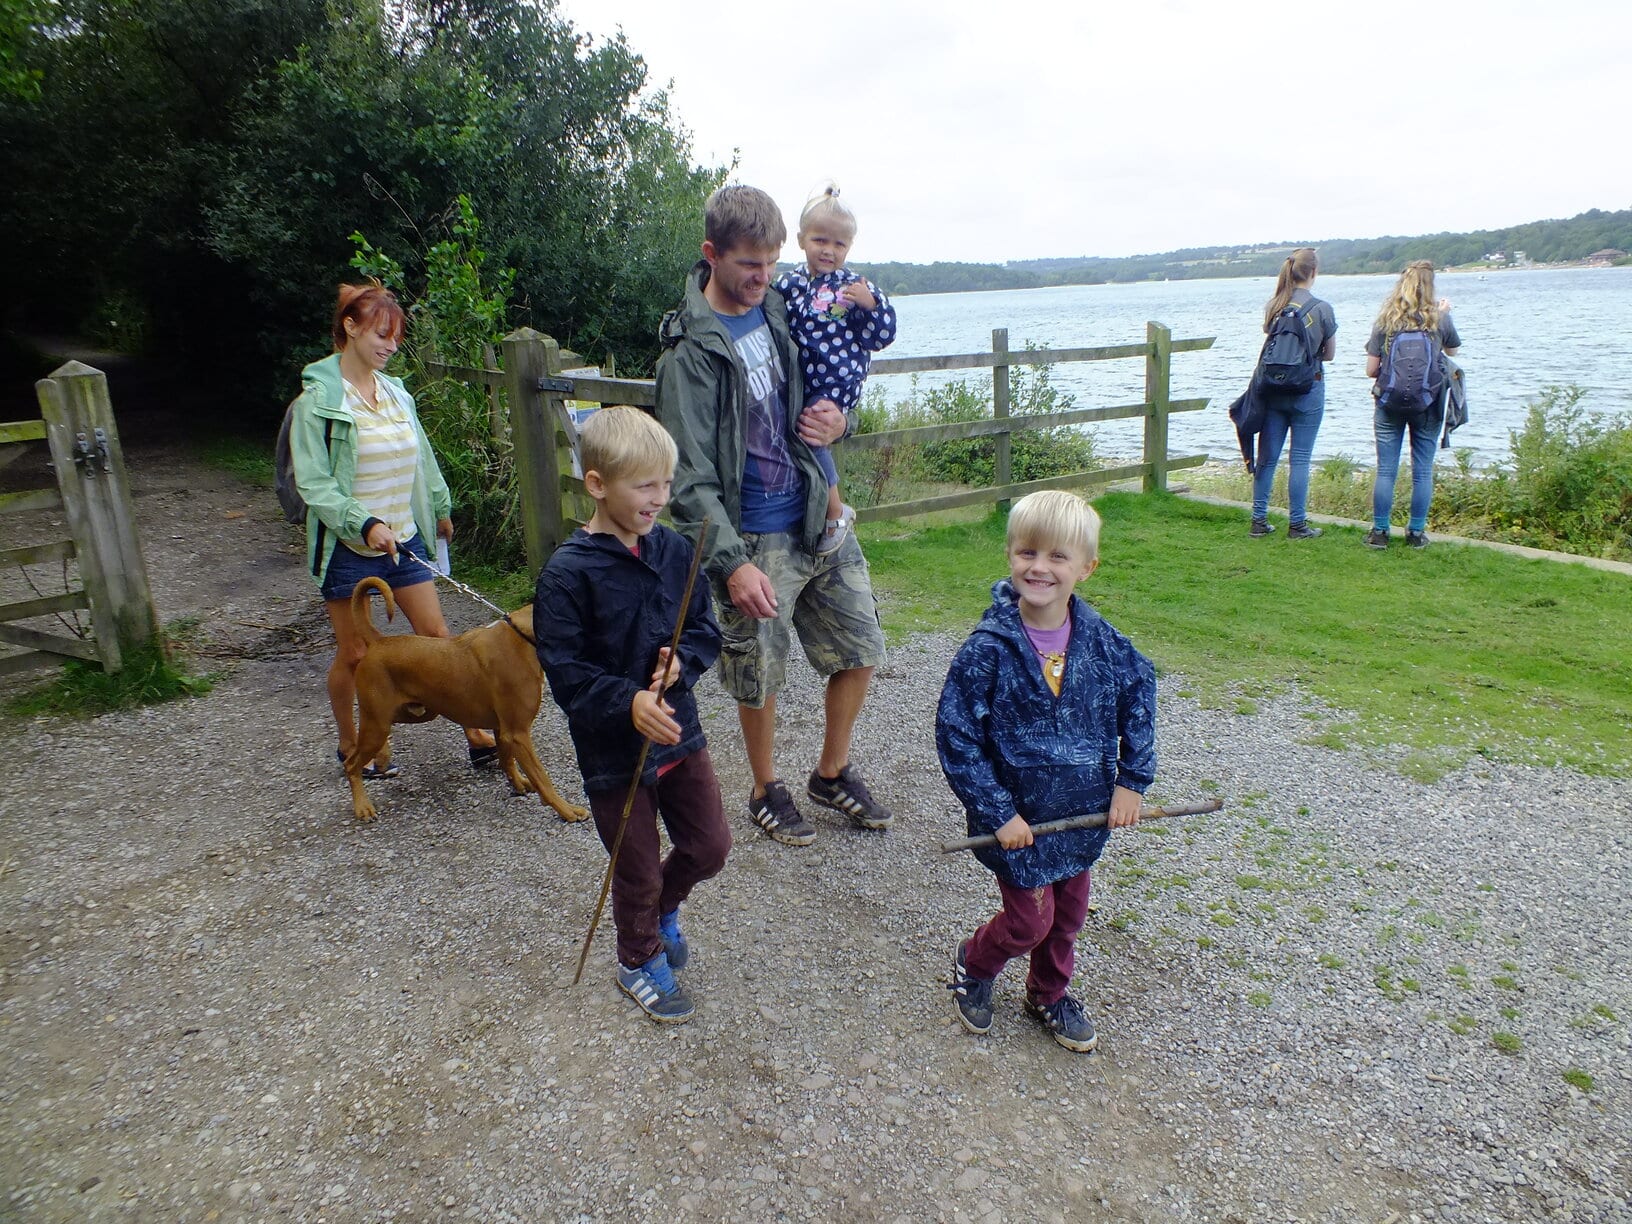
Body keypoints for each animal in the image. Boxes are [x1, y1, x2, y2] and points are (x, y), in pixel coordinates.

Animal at [341, 574, 590, 825]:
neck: (524, 636)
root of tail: (378, 642)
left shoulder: (502, 730)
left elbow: (507, 761)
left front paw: (519, 784)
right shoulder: (518, 733)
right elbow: (543, 779)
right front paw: (567, 810)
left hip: (412, 714)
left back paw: (382, 758)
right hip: (379, 723)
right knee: (351, 763)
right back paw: (363, 806)